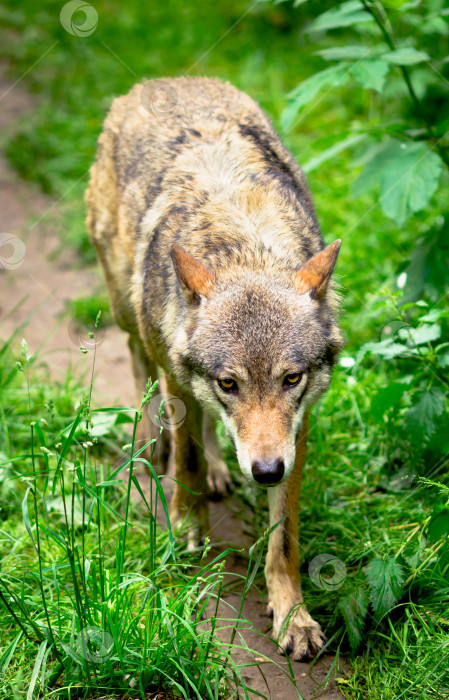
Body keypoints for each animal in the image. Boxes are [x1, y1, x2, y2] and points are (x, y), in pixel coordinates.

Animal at [86, 78, 342, 660]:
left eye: (291, 379)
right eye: (230, 383)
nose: (265, 472)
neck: (243, 244)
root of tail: (163, 81)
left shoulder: (297, 428)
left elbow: (284, 538)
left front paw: (292, 616)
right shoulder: (181, 380)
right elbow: (188, 462)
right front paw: (187, 528)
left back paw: (224, 471)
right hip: (125, 309)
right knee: (142, 367)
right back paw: (155, 442)